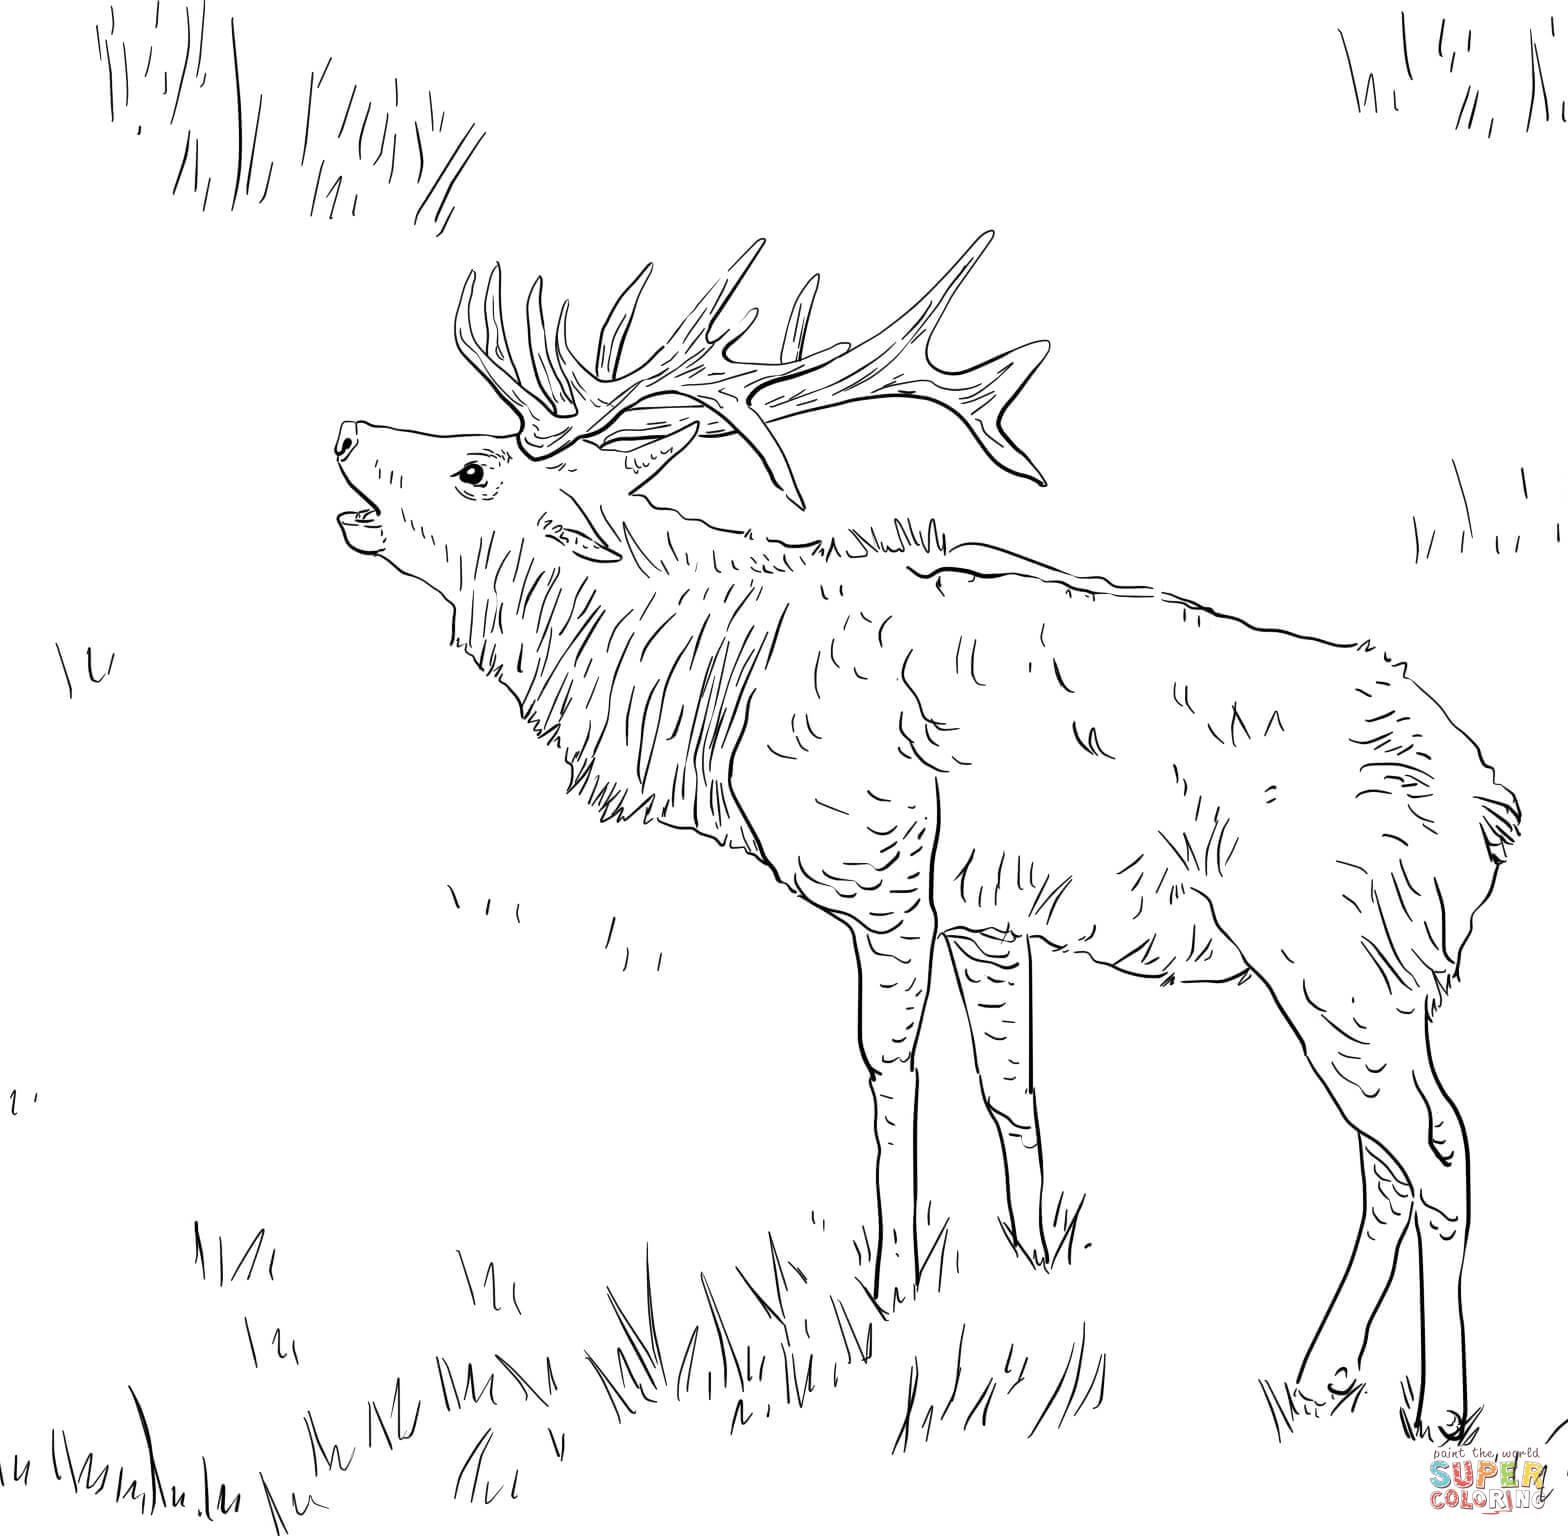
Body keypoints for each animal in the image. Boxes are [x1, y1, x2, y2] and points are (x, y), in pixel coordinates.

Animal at [332, 233, 1518, 1441]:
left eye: (477, 470)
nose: (344, 434)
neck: (718, 691)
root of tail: (1484, 810)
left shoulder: (884, 871)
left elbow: (888, 1065)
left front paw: (891, 1286)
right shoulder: (990, 912)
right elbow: (1012, 1081)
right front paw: (1036, 1261)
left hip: (1336, 952)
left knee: (1434, 1149)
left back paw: (1442, 1408)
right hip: (1375, 977)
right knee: (1383, 1160)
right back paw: (1322, 1374)